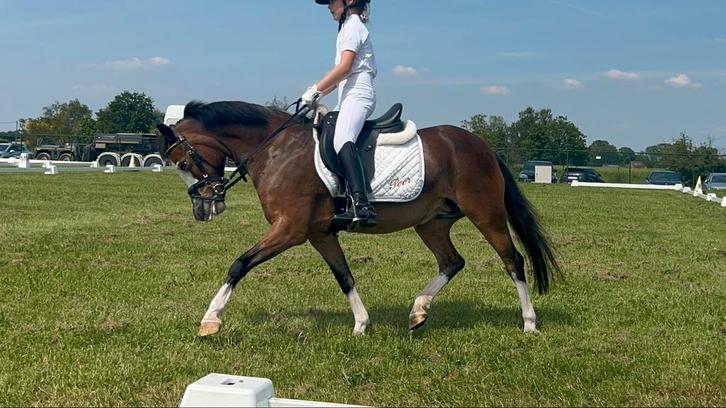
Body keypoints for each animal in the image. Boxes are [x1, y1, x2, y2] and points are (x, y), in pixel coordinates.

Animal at [157, 100, 560, 337]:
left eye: (182, 162)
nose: (202, 208)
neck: (276, 150)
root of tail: (481, 145)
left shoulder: (289, 229)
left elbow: (239, 264)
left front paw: (210, 320)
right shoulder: (319, 234)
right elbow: (344, 276)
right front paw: (361, 325)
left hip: (485, 214)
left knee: (513, 260)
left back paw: (529, 324)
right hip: (431, 223)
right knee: (452, 261)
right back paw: (418, 311)